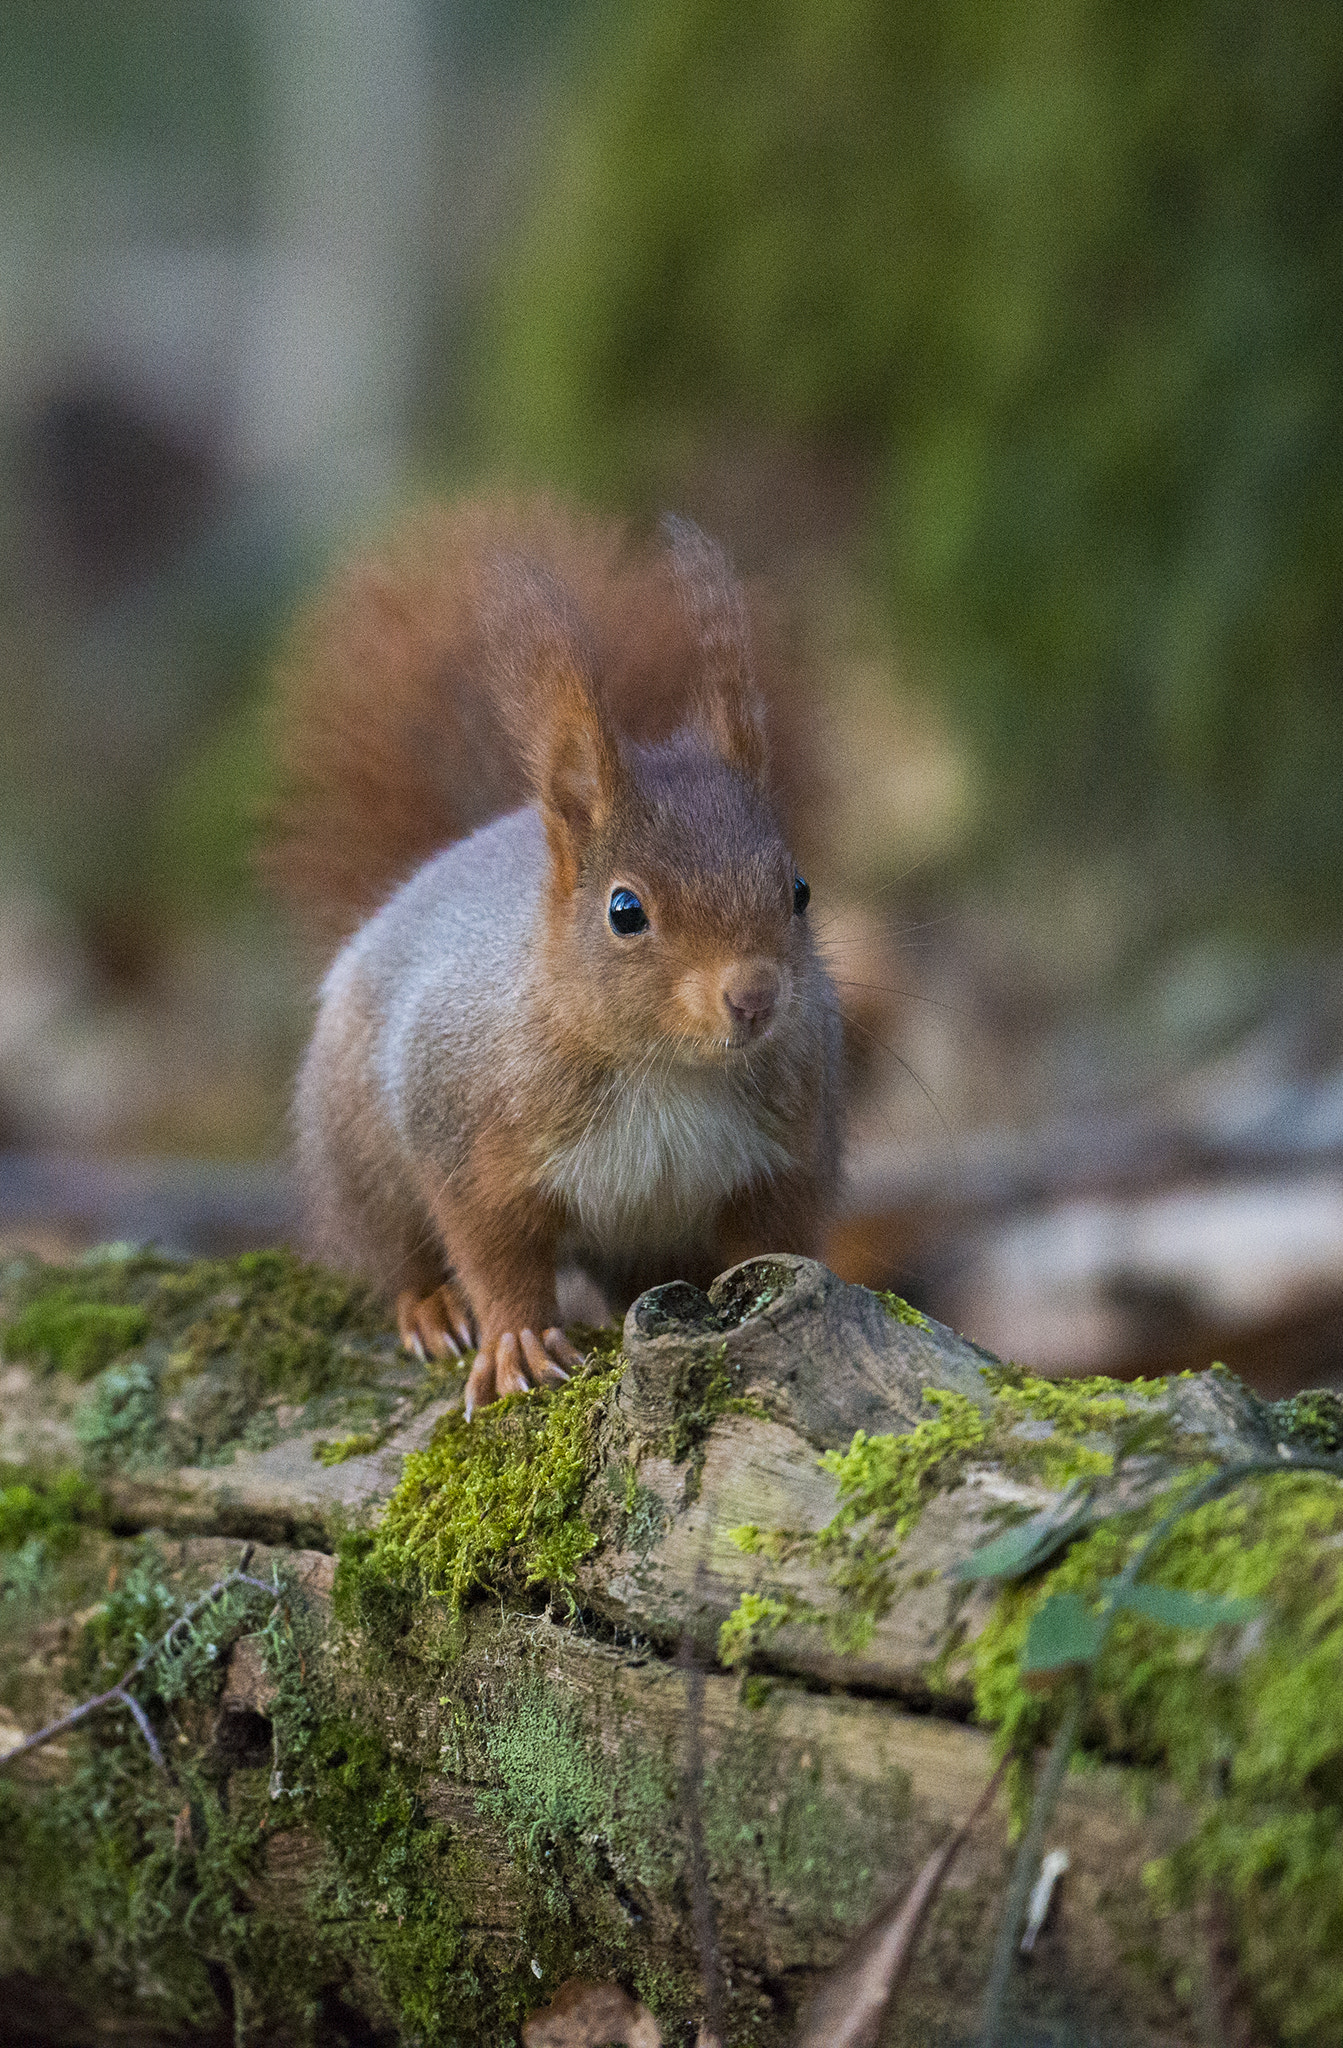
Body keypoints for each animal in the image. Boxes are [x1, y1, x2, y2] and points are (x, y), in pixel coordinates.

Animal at [268, 503, 839, 1417]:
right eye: (624, 911)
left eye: (799, 889)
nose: (754, 997)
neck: (664, 1069)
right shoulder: (469, 1143)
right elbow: (494, 1252)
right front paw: (516, 1342)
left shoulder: (789, 1148)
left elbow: (776, 1239)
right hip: (356, 1153)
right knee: (388, 1248)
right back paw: (428, 1305)